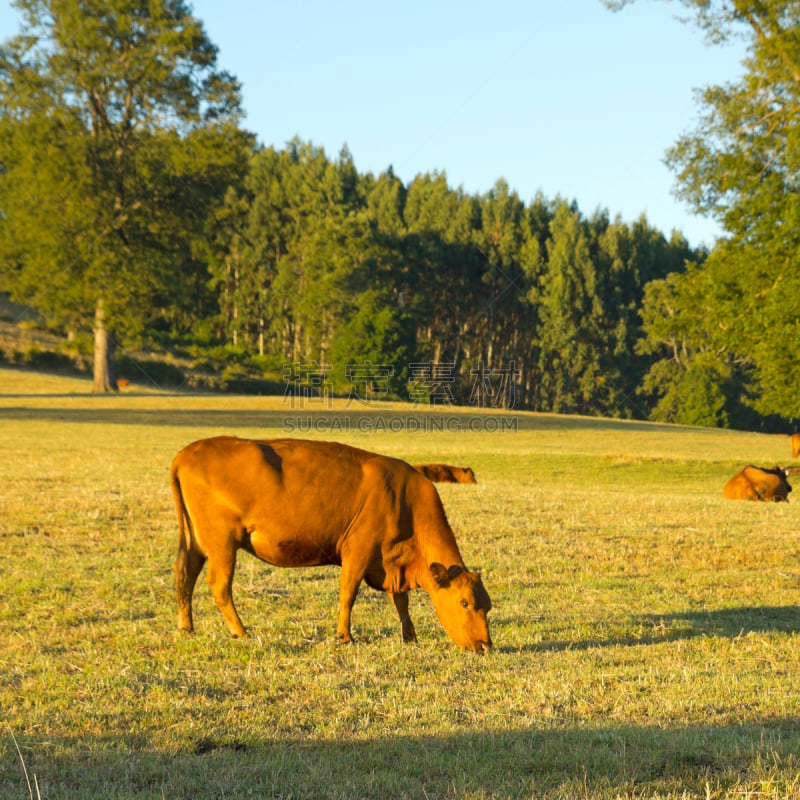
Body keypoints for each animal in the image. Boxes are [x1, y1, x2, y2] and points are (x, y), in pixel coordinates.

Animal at [172, 438, 490, 648]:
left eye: (487, 606)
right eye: (464, 602)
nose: (485, 646)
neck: (405, 500)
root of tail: (187, 452)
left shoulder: (393, 563)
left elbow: (401, 601)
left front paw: (410, 636)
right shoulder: (357, 553)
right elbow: (348, 594)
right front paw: (344, 636)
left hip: (195, 542)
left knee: (184, 577)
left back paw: (187, 628)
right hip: (222, 543)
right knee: (219, 584)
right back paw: (240, 631)